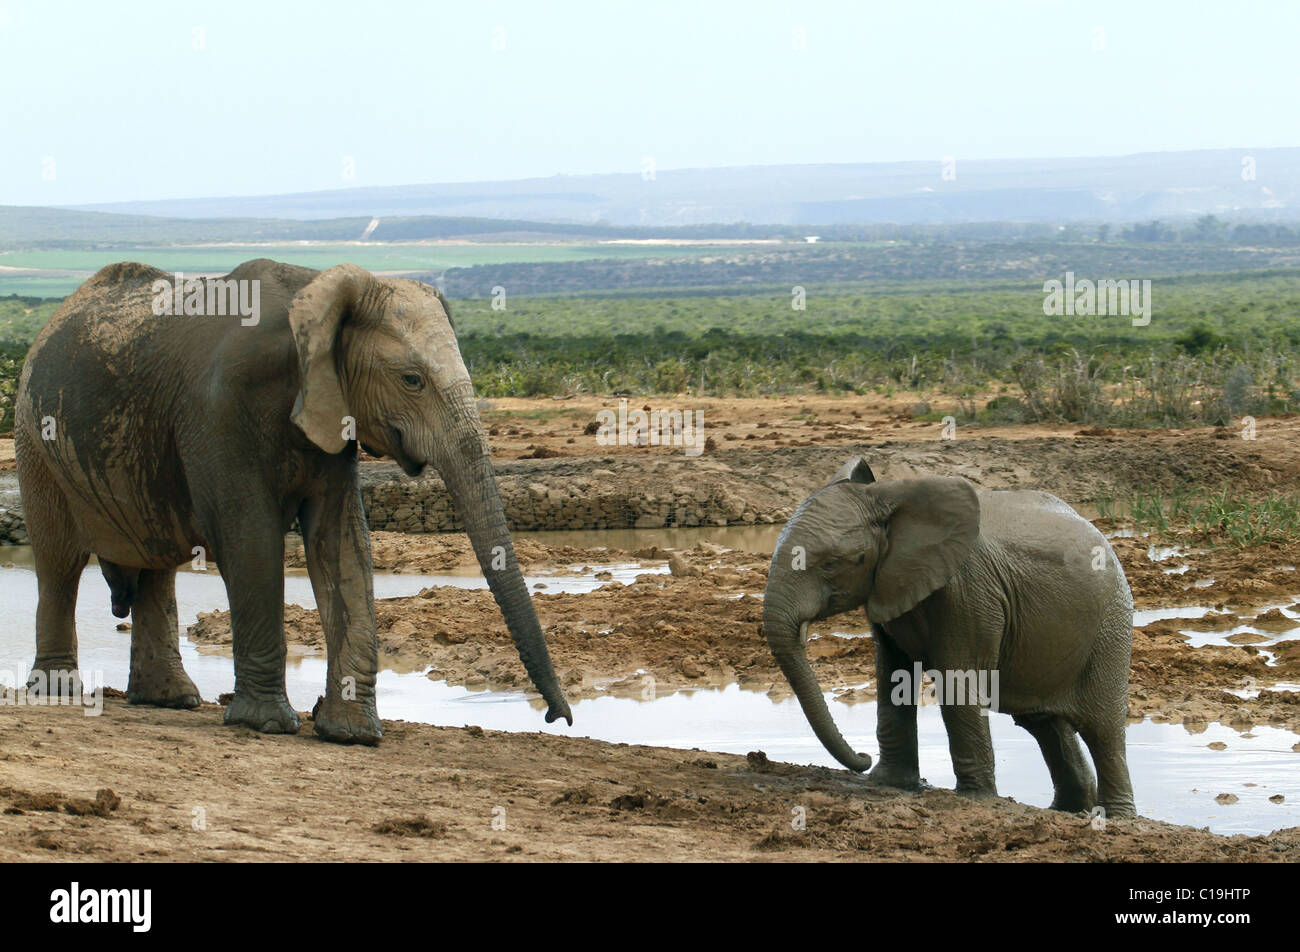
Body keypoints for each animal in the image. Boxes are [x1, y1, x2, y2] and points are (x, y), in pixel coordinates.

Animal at [13, 260, 574, 743]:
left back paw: (170, 700)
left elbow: (342, 543)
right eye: (411, 380)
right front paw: (264, 724)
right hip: (35, 437)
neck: (317, 293)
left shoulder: (331, 417)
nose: (558, 717)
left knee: (157, 567)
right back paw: (60, 695)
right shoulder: (219, 410)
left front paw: (352, 734)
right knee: (60, 562)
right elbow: (250, 538)